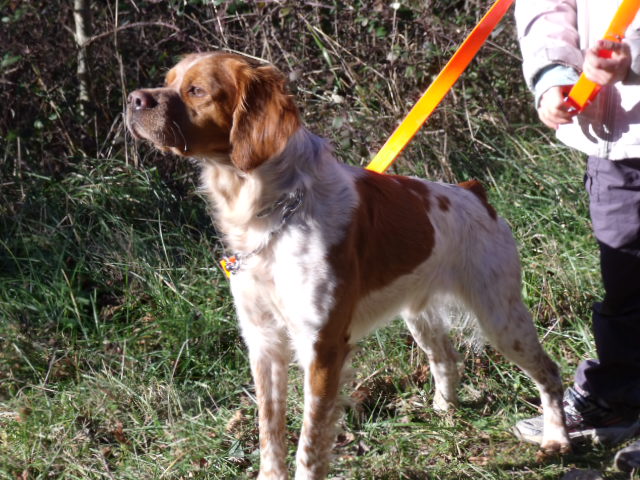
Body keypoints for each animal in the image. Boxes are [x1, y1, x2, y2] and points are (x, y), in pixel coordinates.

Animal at [126, 50, 568, 478]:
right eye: (168, 82)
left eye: (197, 90)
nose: (133, 99)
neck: (271, 210)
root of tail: (473, 193)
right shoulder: (263, 341)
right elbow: (270, 431)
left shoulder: (321, 346)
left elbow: (309, 442)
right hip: (420, 314)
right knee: (445, 357)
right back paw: (445, 411)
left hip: (501, 316)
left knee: (548, 371)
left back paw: (556, 438)